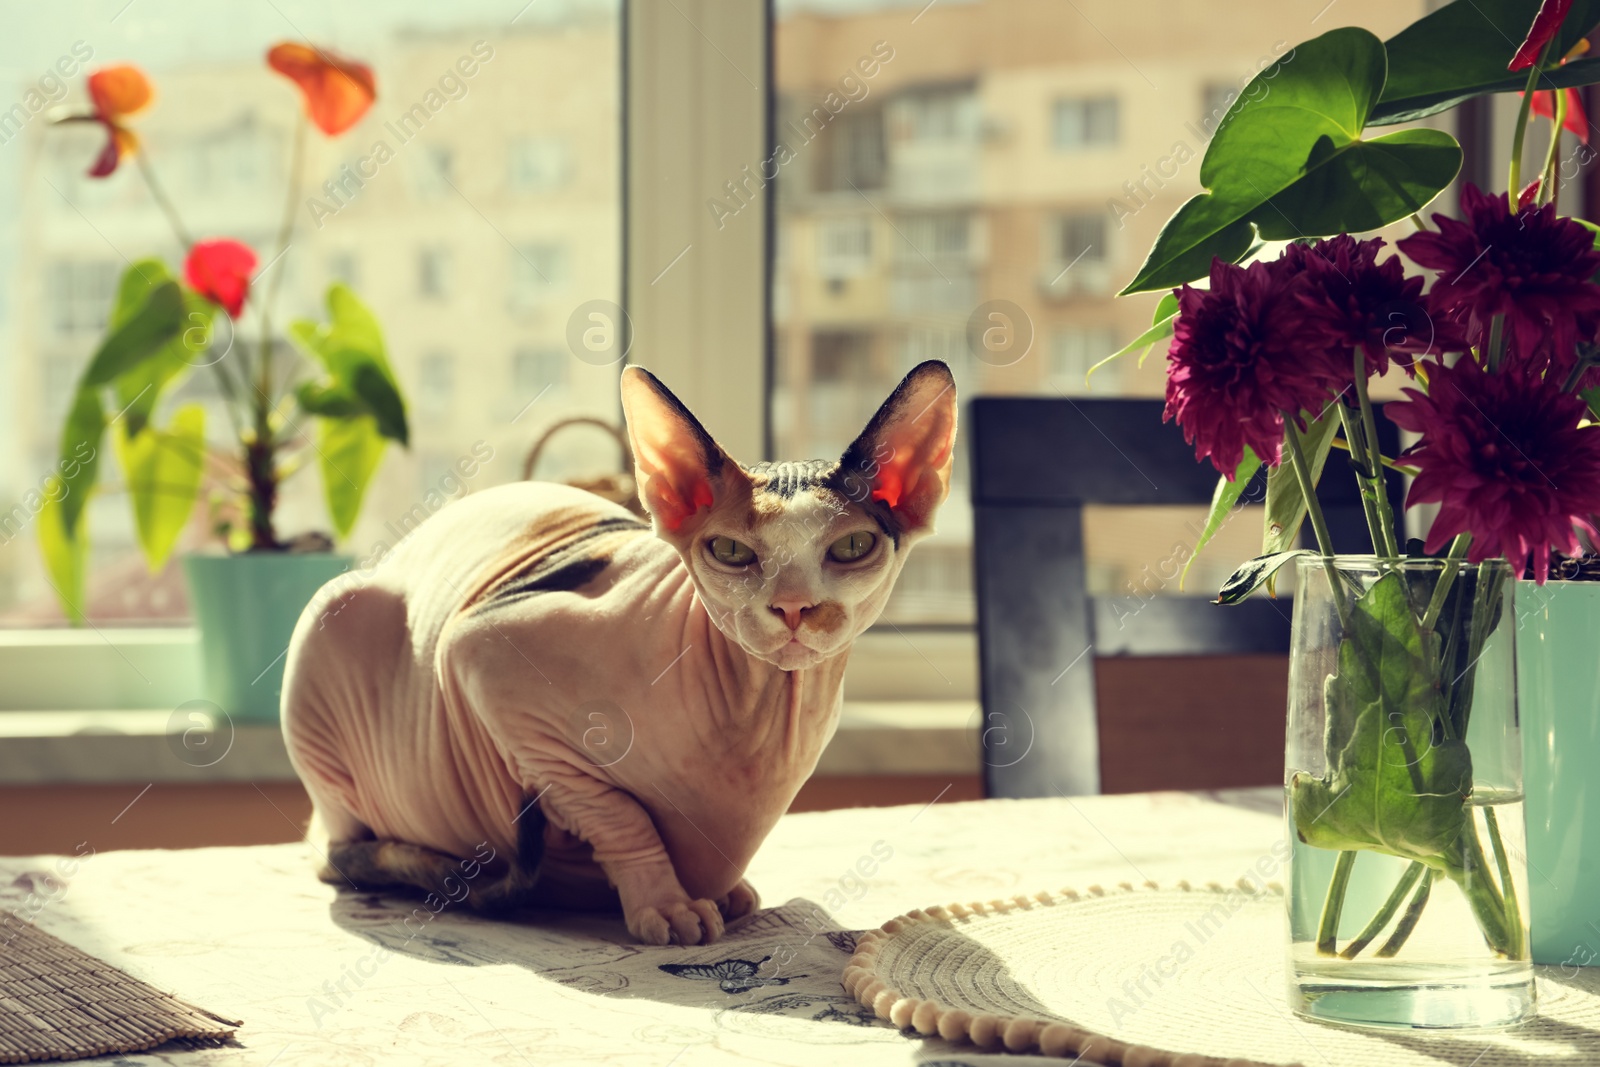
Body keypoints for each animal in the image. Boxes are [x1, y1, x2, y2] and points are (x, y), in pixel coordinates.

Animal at [281, 358, 953, 940]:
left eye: (853, 546)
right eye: (731, 552)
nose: (793, 607)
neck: (763, 715)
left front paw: (715, 894)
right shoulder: (479, 652)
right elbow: (617, 809)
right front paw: (666, 904)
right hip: (333, 617)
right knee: (340, 852)